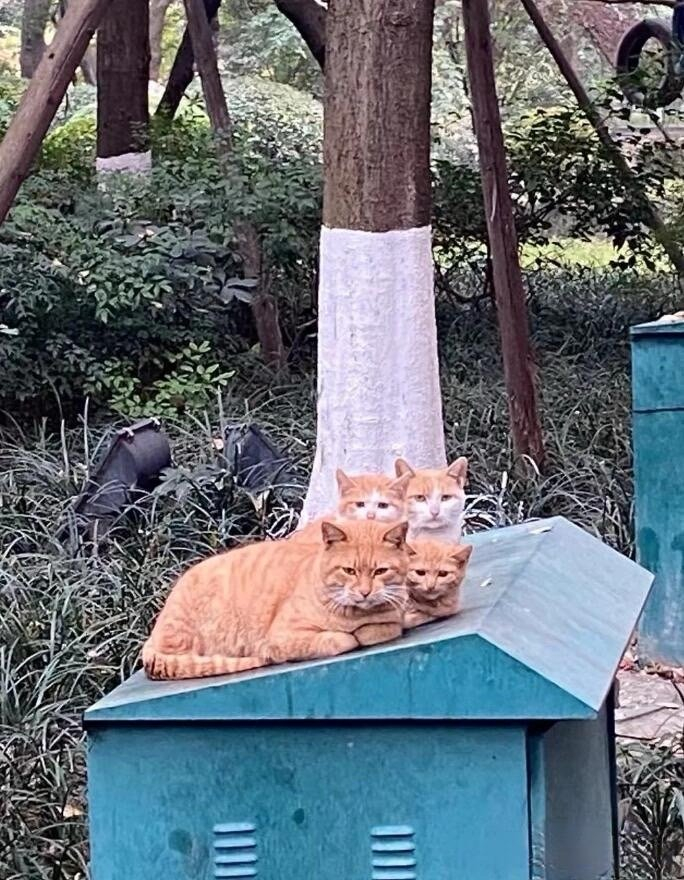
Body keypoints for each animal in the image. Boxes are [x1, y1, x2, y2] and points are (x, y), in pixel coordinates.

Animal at [142, 519, 410, 681]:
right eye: (349, 570)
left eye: (380, 571)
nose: (365, 592)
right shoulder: (281, 638)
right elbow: (342, 640)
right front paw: (349, 635)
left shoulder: (394, 618)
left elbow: (385, 628)